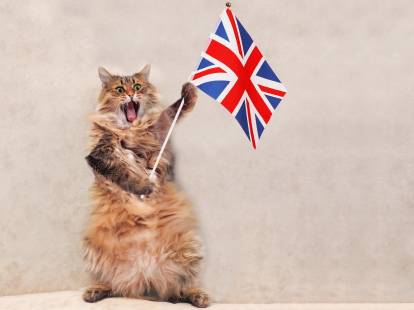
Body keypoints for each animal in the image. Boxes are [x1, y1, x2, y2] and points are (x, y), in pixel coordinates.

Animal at [81, 66, 210, 308]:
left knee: (182, 287)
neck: (132, 128)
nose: (131, 94)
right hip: (93, 249)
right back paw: (94, 291)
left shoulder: (159, 132)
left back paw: (199, 296)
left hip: (188, 247)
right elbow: (124, 173)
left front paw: (188, 94)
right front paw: (145, 187)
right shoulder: (102, 153)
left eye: (138, 86)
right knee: (112, 284)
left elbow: (171, 111)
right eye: (119, 89)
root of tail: (144, 277)